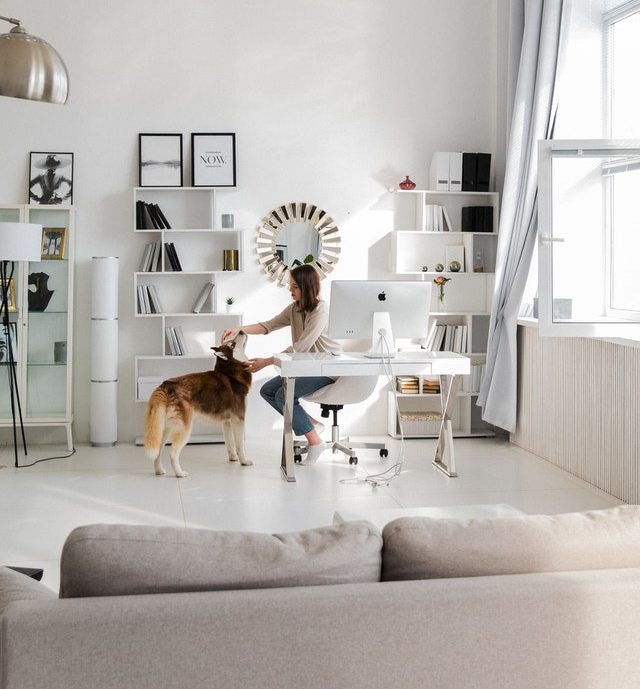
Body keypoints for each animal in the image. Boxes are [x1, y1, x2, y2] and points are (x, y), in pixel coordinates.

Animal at [144, 330, 252, 476]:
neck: (232, 373)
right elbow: (240, 445)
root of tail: (167, 384)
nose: (240, 331)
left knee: (159, 449)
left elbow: (230, 443)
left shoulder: (227, 422)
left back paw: (159, 470)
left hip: (166, 427)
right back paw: (180, 473)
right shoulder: (239, 419)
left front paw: (233, 458)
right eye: (232, 345)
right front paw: (244, 461)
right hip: (184, 428)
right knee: (173, 452)